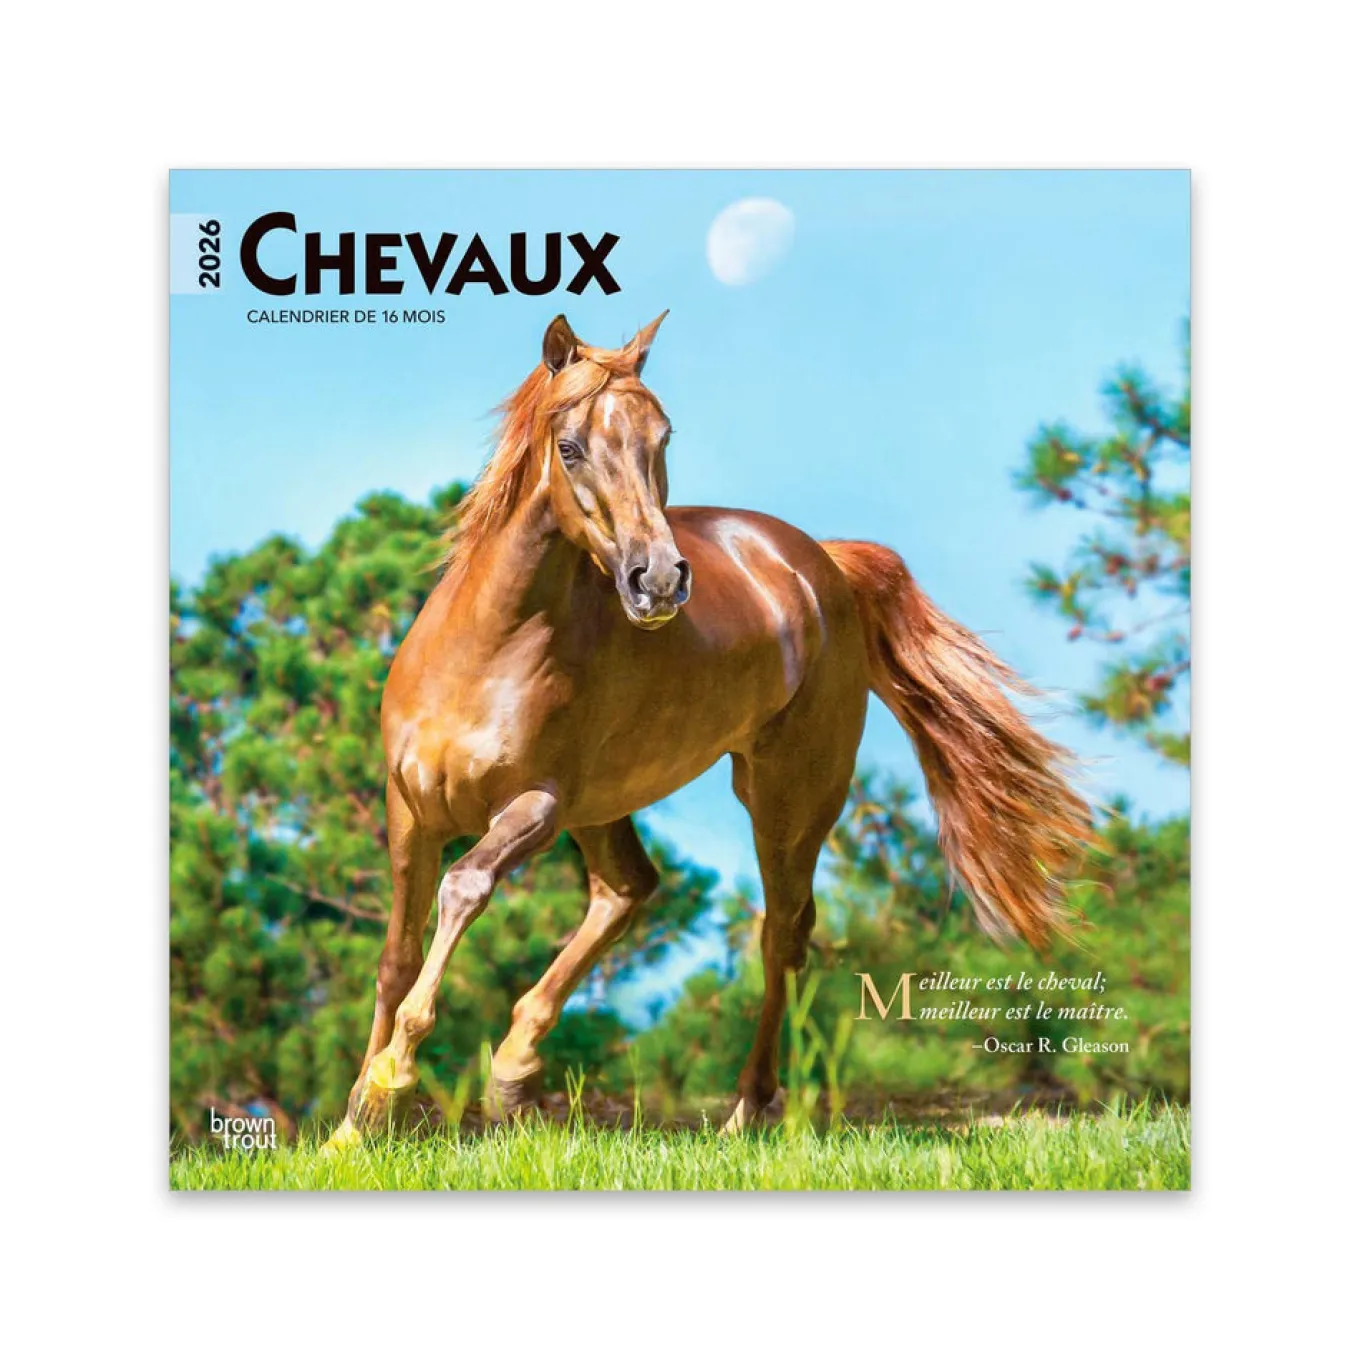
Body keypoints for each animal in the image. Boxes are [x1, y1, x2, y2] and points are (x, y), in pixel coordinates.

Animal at [324, 311, 1092, 1148]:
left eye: (663, 436)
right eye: (571, 446)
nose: (658, 579)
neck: (486, 648)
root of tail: (823, 564)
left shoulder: (536, 806)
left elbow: (464, 888)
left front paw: (389, 1084)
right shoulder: (410, 808)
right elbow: (397, 956)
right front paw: (352, 1123)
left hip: (784, 796)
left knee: (781, 930)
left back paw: (746, 1108)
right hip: (607, 807)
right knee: (630, 889)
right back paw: (515, 1076)